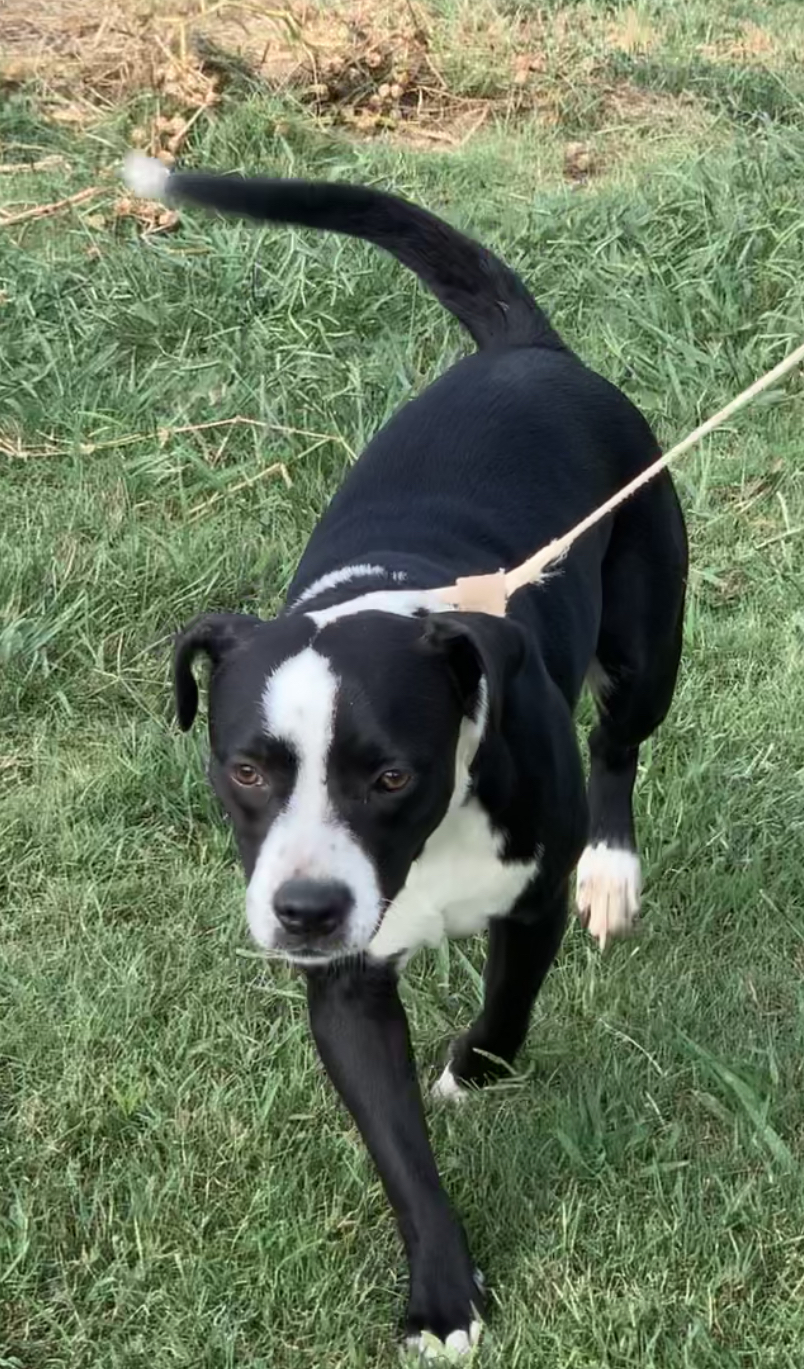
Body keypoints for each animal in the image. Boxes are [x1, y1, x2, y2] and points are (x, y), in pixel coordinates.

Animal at [123, 152, 684, 1358]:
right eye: (245, 769)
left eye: (391, 773)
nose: (305, 912)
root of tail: (528, 352)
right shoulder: (344, 987)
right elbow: (399, 1149)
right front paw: (442, 1293)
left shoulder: (525, 899)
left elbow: (512, 1005)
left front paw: (474, 1067)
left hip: (647, 638)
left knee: (619, 743)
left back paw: (613, 871)